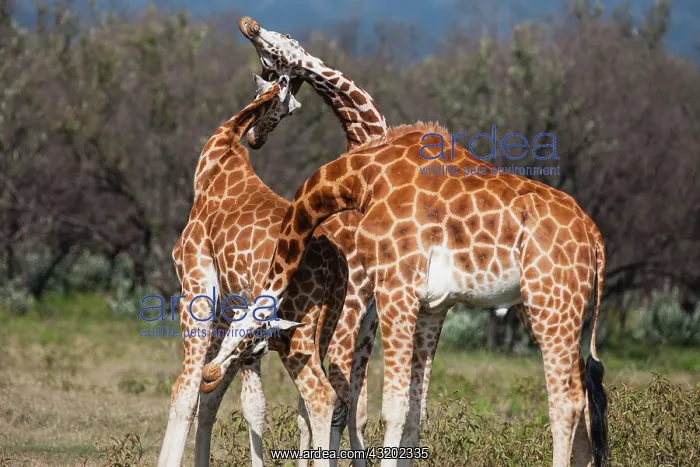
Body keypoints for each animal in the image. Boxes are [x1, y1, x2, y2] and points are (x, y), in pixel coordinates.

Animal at [202, 123, 610, 467]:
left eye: (248, 336)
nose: (209, 373)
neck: (364, 179)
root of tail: (594, 236)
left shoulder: (395, 286)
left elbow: (393, 408)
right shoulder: (434, 306)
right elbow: (416, 410)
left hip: (549, 302)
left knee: (567, 402)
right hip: (563, 310)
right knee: (587, 401)